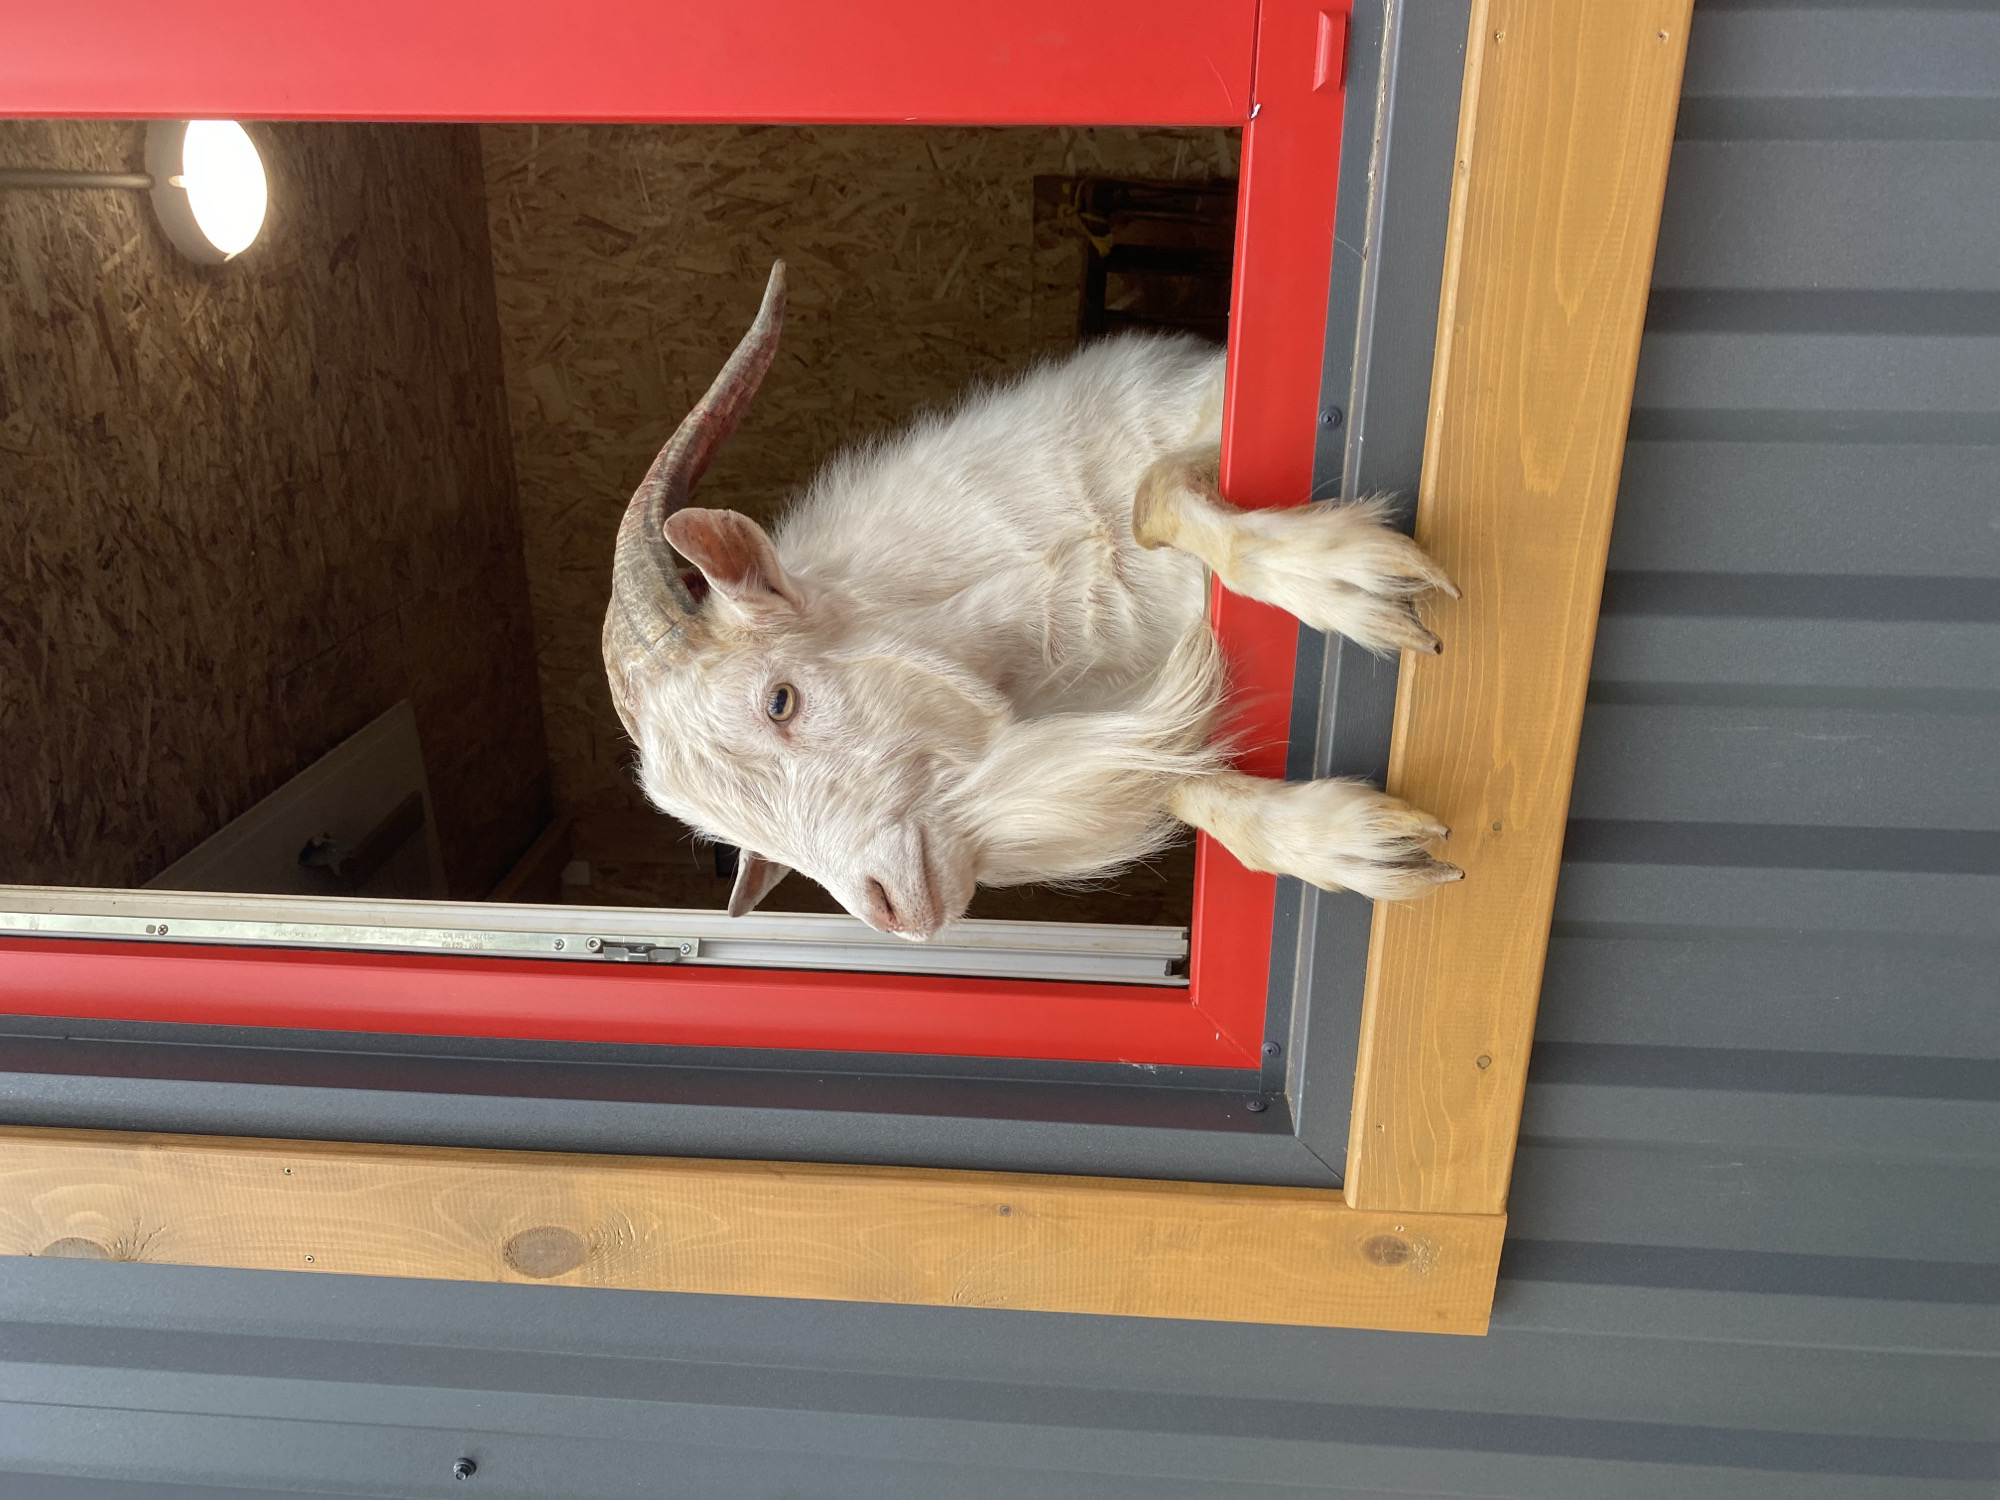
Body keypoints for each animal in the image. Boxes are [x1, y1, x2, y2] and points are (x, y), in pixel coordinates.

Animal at [603, 262, 1459, 939]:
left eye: (779, 701)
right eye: (736, 833)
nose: (893, 913)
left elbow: (1155, 494)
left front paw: (1355, 584)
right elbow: (1178, 773)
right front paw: (1357, 845)